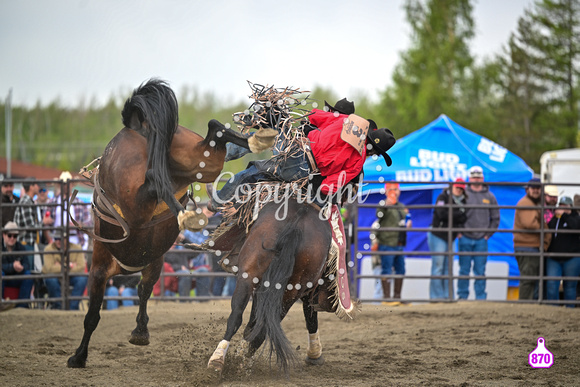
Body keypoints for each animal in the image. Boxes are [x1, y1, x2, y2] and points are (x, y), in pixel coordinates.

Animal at [65, 79, 274, 370]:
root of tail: (137, 126)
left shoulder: (98, 267)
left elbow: (93, 315)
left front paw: (78, 356)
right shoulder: (154, 261)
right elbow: (143, 290)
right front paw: (140, 331)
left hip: (136, 199)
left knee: (154, 177)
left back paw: (187, 215)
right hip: (198, 160)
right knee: (215, 131)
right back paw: (257, 140)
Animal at [206, 197, 348, 376]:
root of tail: (297, 222)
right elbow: (310, 318)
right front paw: (315, 355)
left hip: (250, 277)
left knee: (237, 317)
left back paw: (220, 361)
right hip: (288, 293)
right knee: (258, 326)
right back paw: (237, 363)